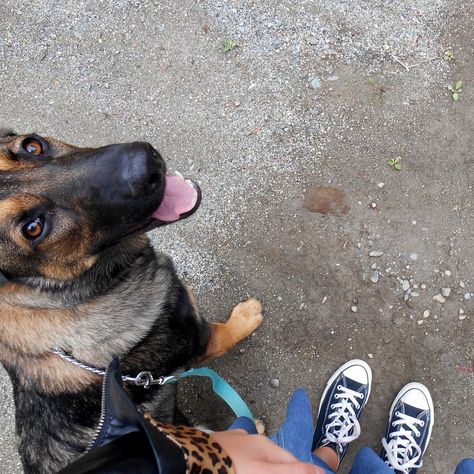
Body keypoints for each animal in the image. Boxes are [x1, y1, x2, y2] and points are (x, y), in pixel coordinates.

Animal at [0, 130, 262, 474]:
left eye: (32, 146)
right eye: (34, 227)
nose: (146, 160)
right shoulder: (200, 339)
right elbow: (227, 331)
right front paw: (247, 315)